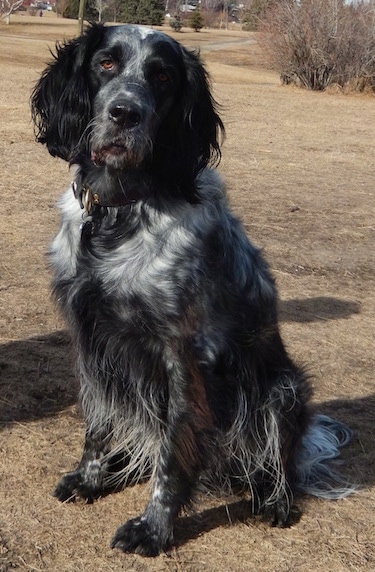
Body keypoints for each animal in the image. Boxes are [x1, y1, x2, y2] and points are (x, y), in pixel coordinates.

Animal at [30, 24, 354, 556]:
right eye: (106, 63)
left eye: (162, 76)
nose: (125, 113)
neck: (119, 212)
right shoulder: (90, 339)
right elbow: (98, 425)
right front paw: (91, 478)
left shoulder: (183, 355)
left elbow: (173, 453)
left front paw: (154, 528)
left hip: (283, 390)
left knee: (279, 462)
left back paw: (275, 500)